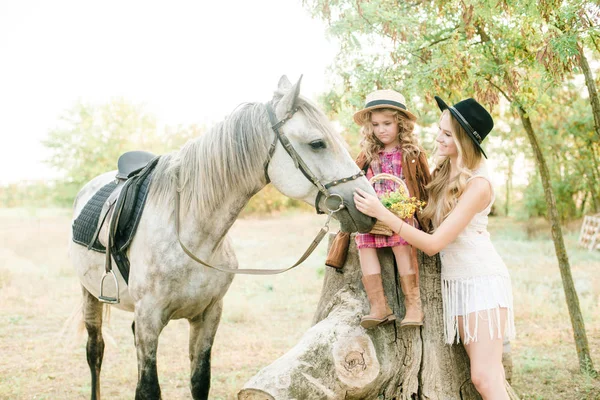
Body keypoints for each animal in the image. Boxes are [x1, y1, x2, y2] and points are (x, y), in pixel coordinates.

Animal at [68, 76, 372, 400]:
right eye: (317, 143)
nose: (365, 203)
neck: (191, 233)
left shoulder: (209, 314)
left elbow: (200, 381)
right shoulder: (150, 319)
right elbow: (148, 389)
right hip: (89, 293)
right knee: (95, 351)